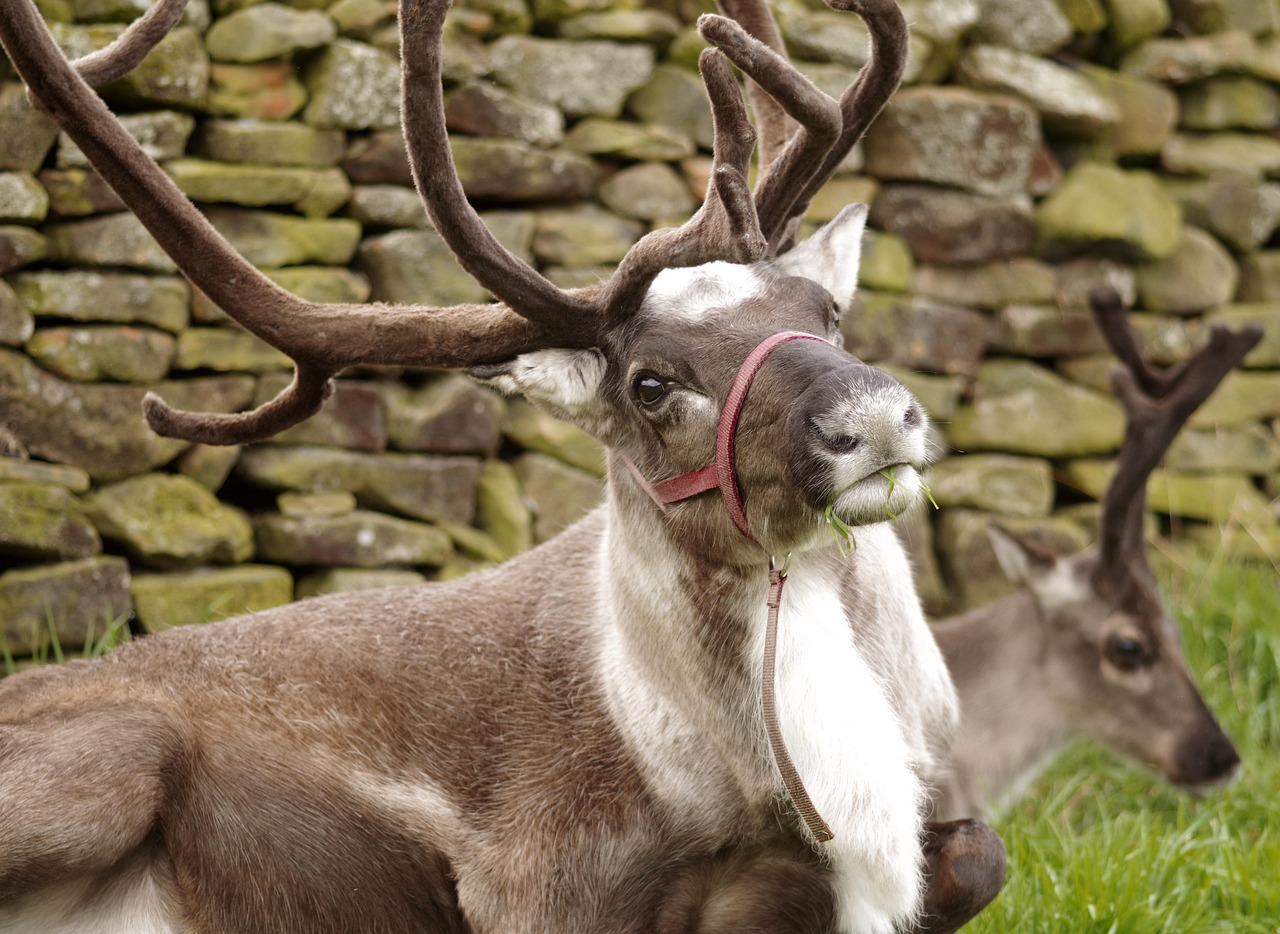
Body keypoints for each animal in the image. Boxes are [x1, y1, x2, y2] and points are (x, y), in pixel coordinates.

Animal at [0, 0, 1006, 931]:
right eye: (649, 382)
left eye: (824, 311)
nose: (872, 418)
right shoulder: (535, 878)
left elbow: (980, 856)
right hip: (118, 759)